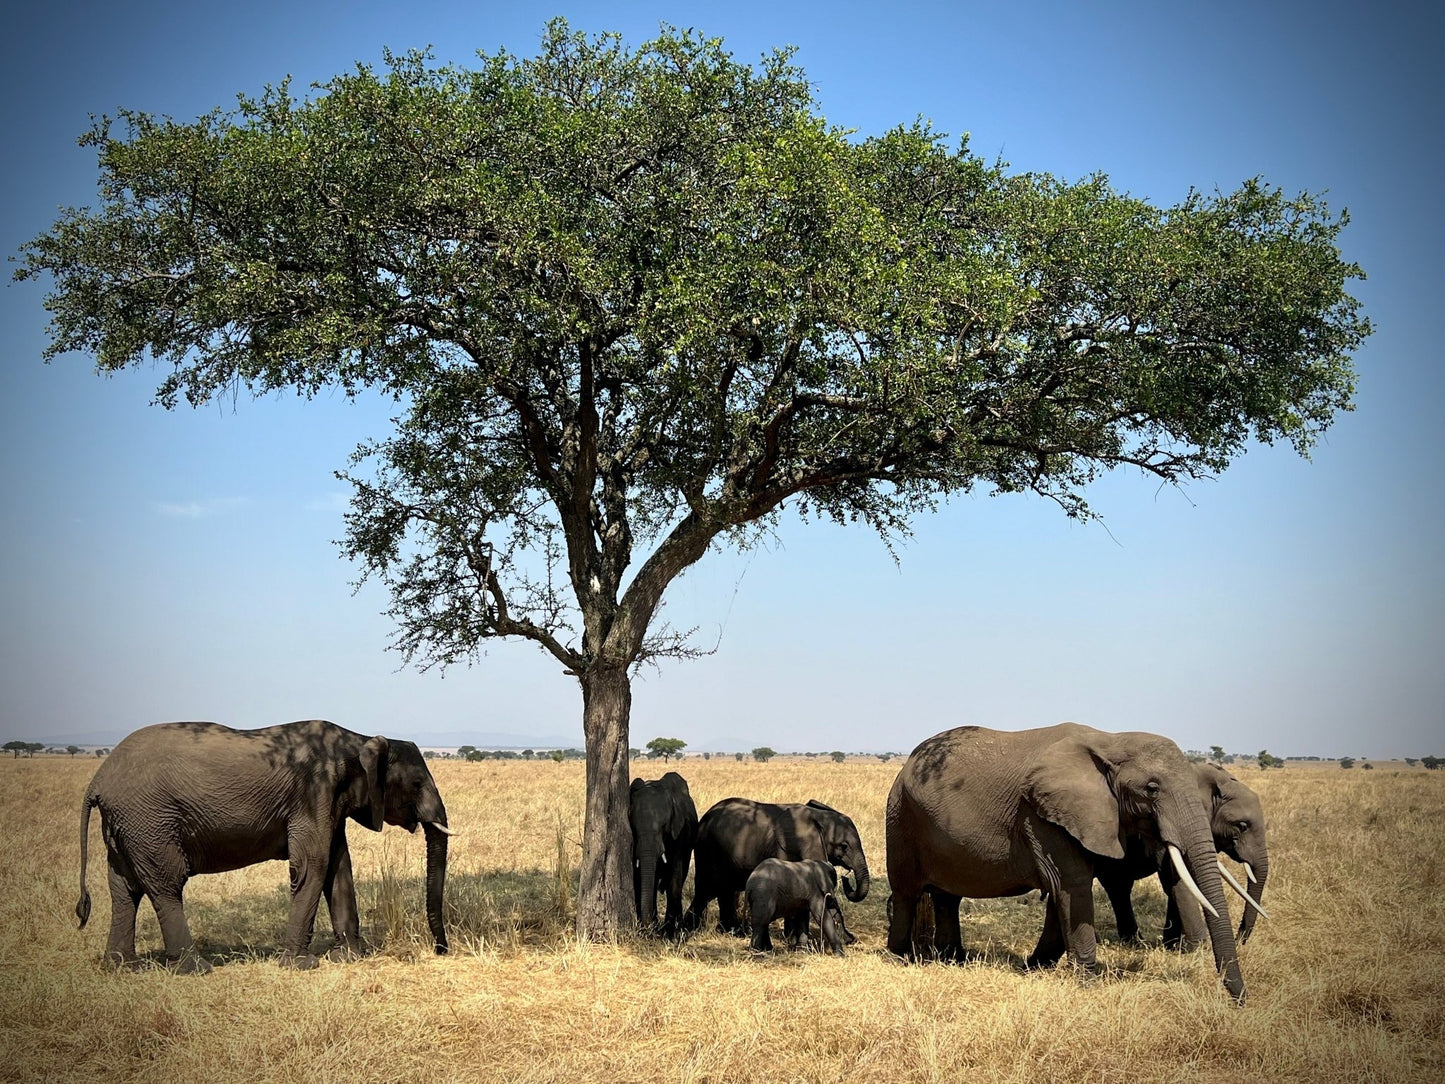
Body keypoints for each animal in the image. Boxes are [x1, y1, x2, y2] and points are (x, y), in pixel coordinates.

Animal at [77, 722, 450, 977]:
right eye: (417, 783)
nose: (441, 950)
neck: (358, 739)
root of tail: (97, 781)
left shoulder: (330, 802)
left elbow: (338, 867)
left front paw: (349, 958)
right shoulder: (313, 793)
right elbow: (312, 864)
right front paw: (301, 965)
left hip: (126, 826)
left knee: (124, 889)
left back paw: (122, 967)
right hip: (148, 821)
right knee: (166, 884)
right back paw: (195, 969)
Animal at [632, 774, 699, 942]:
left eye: (663, 826)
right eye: (634, 828)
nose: (646, 929)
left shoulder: (679, 833)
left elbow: (674, 878)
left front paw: (671, 934)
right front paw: (653, 928)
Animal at [684, 792, 867, 936]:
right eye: (844, 846)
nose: (845, 878)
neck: (818, 816)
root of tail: (704, 818)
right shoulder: (786, 847)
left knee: (721, 891)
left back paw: (730, 931)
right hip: (708, 849)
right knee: (706, 890)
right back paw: (690, 930)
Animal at [884, 725, 1248, 1005]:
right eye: (1152, 788)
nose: (1239, 1001)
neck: (1110, 741)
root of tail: (908, 763)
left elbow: (1062, 892)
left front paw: (1034, 968)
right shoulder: (1042, 815)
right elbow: (1071, 885)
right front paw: (1086, 983)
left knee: (948, 897)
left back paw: (952, 960)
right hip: (901, 816)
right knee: (906, 893)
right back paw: (899, 958)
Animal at [1098, 763, 1271, 948]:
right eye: (1242, 826)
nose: (1239, 940)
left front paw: (1173, 946)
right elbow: (1177, 879)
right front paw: (1195, 947)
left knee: (1118, 886)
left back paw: (1134, 943)